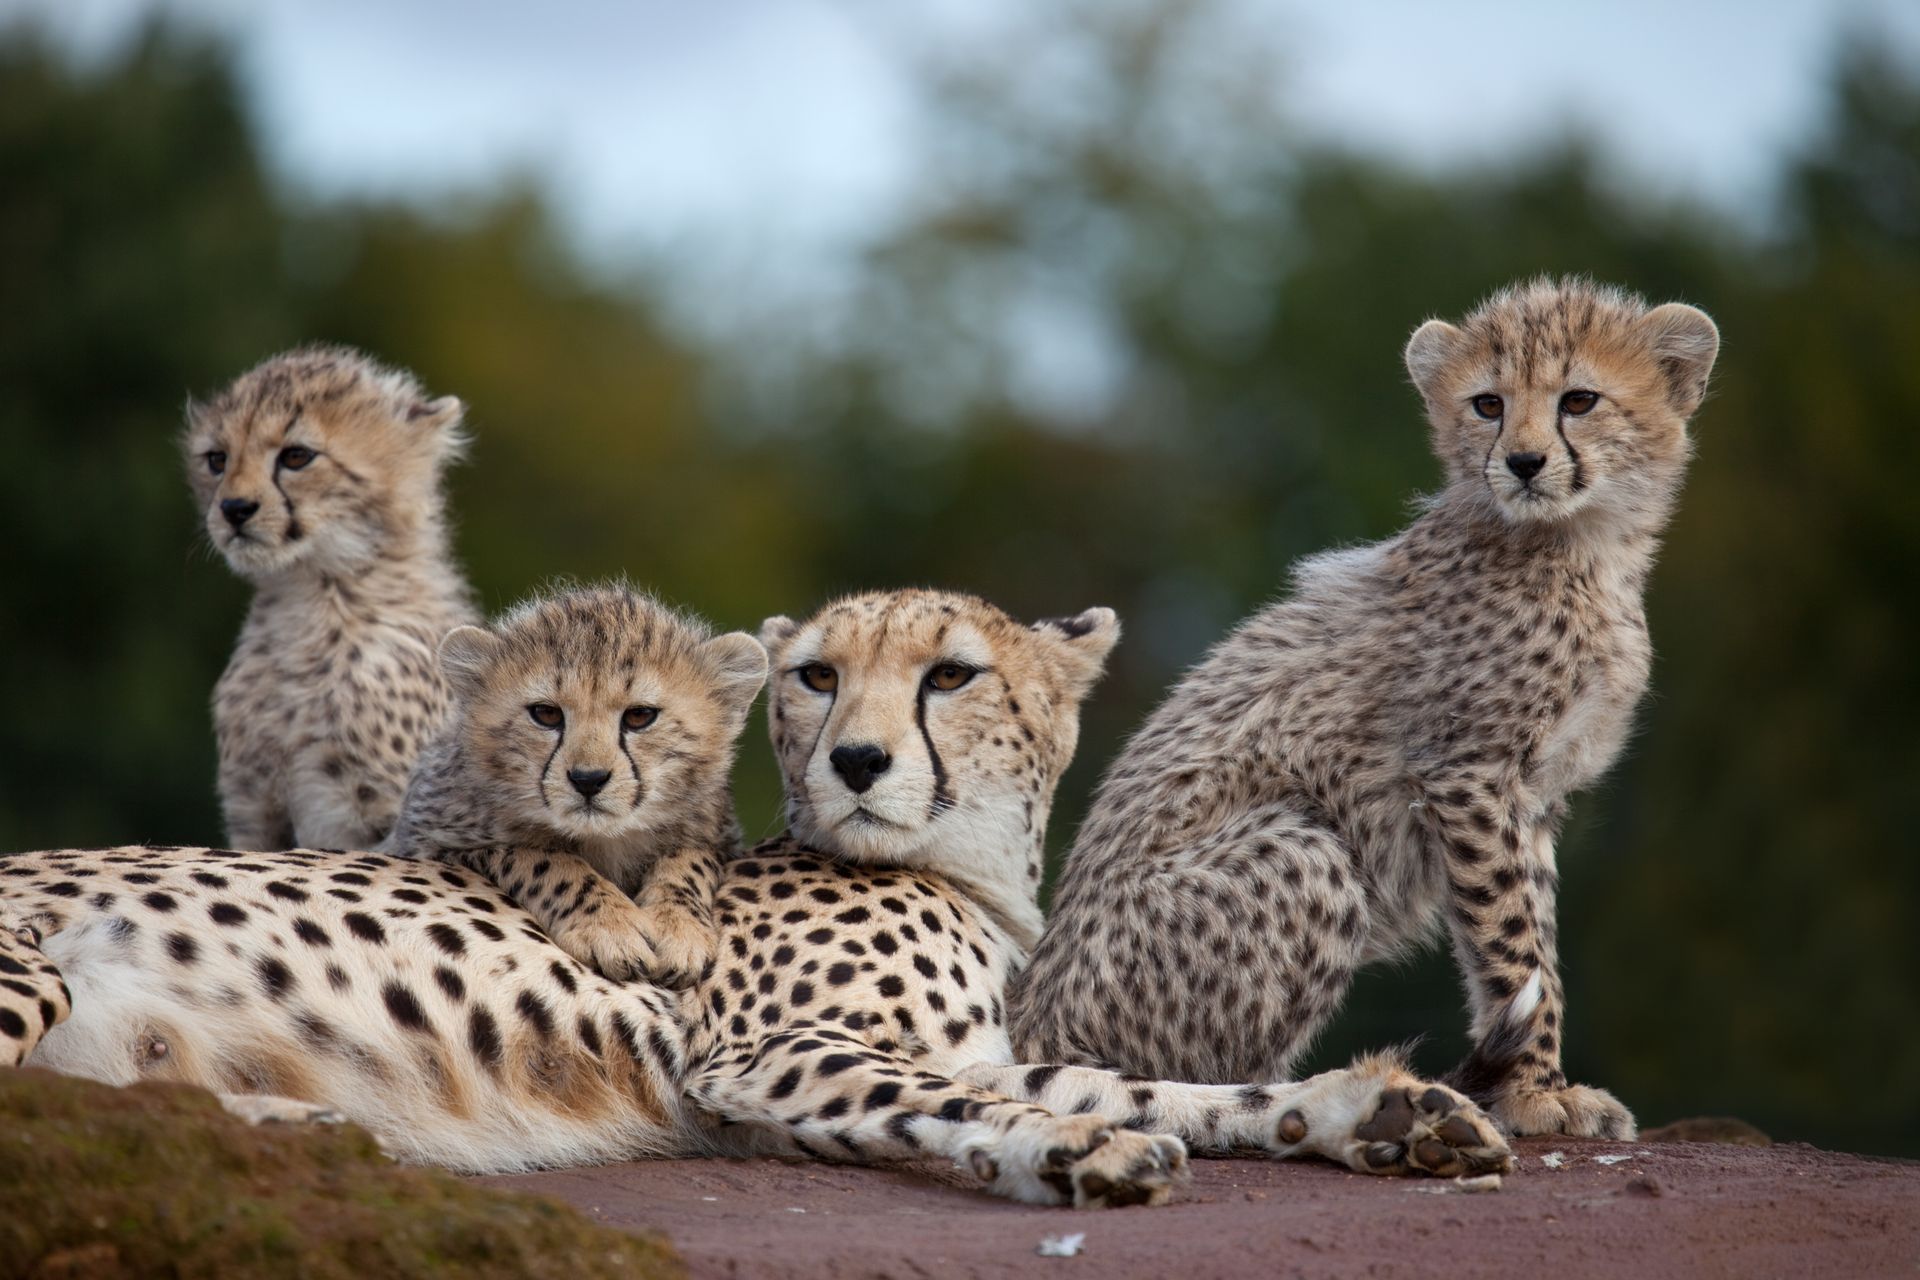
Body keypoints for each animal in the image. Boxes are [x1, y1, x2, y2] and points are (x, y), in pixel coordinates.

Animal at [382, 584, 767, 988]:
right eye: (546, 713)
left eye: (640, 716)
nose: (588, 779)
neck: (605, 841)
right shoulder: (428, 845)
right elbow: (542, 859)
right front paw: (610, 926)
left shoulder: (714, 835)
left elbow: (689, 860)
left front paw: (678, 926)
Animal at [1010, 277, 1720, 1142]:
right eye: (1488, 404)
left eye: (1579, 400)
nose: (1523, 462)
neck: (1576, 544)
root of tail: (1027, 1012)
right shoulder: (1465, 772)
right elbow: (1513, 940)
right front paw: (1535, 1093)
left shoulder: (1533, 795)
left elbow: (1532, 940)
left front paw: (1532, 1084)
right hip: (1302, 852)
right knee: (1187, 1083)